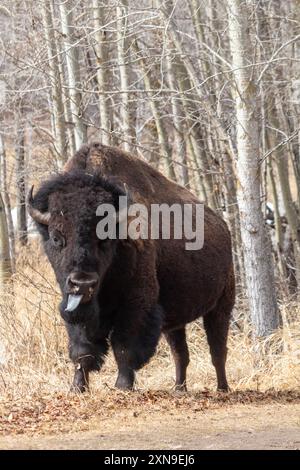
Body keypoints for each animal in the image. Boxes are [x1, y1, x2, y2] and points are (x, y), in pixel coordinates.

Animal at [27, 143, 236, 392]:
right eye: (57, 237)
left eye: (105, 238)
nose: (83, 283)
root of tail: (223, 226)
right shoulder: (75, 305)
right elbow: (82, 349)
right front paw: (78, 387)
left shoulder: (136, 303)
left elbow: (125, 346)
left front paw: (123, 386)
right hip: (175, 319)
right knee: (180, 353)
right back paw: (179, 389)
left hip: (221, 305)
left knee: (217, 350)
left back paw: (222, 388)